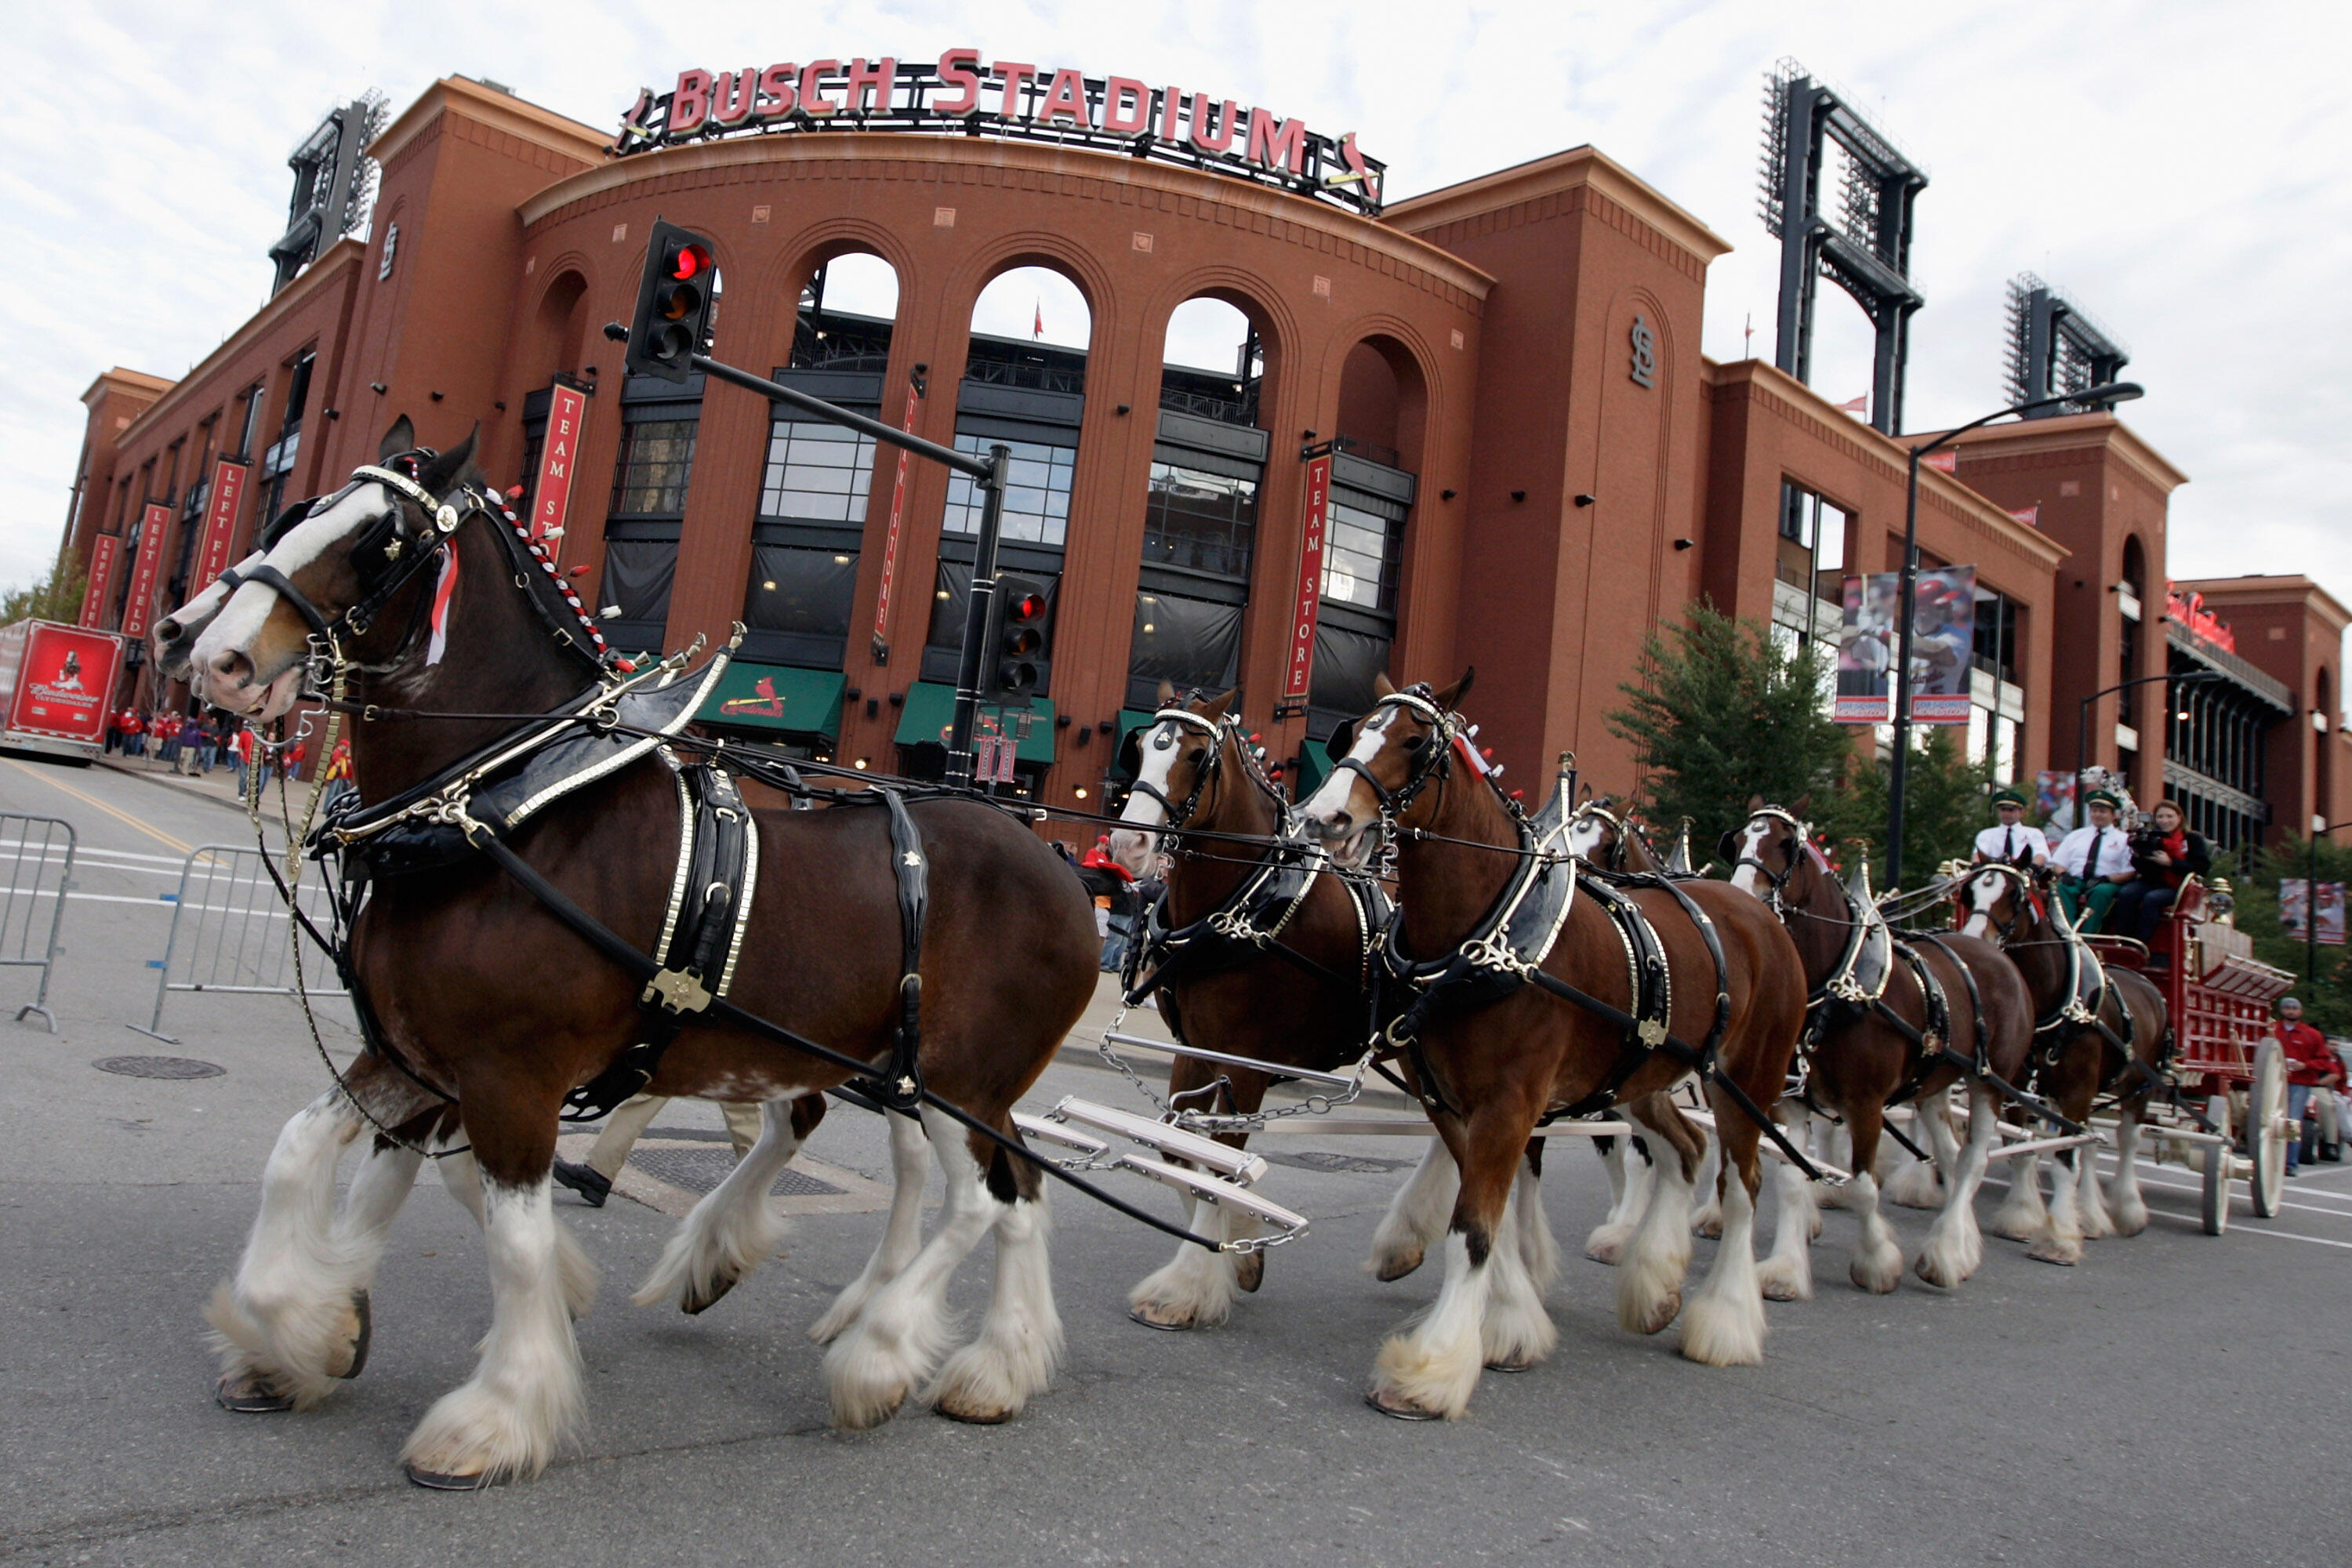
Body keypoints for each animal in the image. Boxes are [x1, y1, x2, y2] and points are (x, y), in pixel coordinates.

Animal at [161, 425, 1096, 1486]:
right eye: (292, 512)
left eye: (380, 541)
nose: (219, 655)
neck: (500, 806)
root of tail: (1066, 869)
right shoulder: (413, 1052)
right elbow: (303, 1153)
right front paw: (302, 1330)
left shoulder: (509, 1072)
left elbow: (515, 1241)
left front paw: (494, 1414)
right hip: (917, 1073)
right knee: (1007, 1187)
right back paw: (992, 1365)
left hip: (955, 1078)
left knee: (975, 1198)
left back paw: (879, 1352)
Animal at [1298, 677, 1806, 1420]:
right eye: (1352, 731)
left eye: (1415, 742)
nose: (1323, 819)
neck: (1490, 933)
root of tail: (1761, 918)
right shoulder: (1451, 1102)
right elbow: (1493, 1220)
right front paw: (1511, 1325)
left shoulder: (1511, 1103)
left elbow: (1474, 1229)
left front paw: (1432, 1368)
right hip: (1644, 1075)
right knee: (1685, 1149)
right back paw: (1655, 1286)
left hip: (1746, 1081)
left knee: (1741, 1188)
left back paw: (1726, 1322)